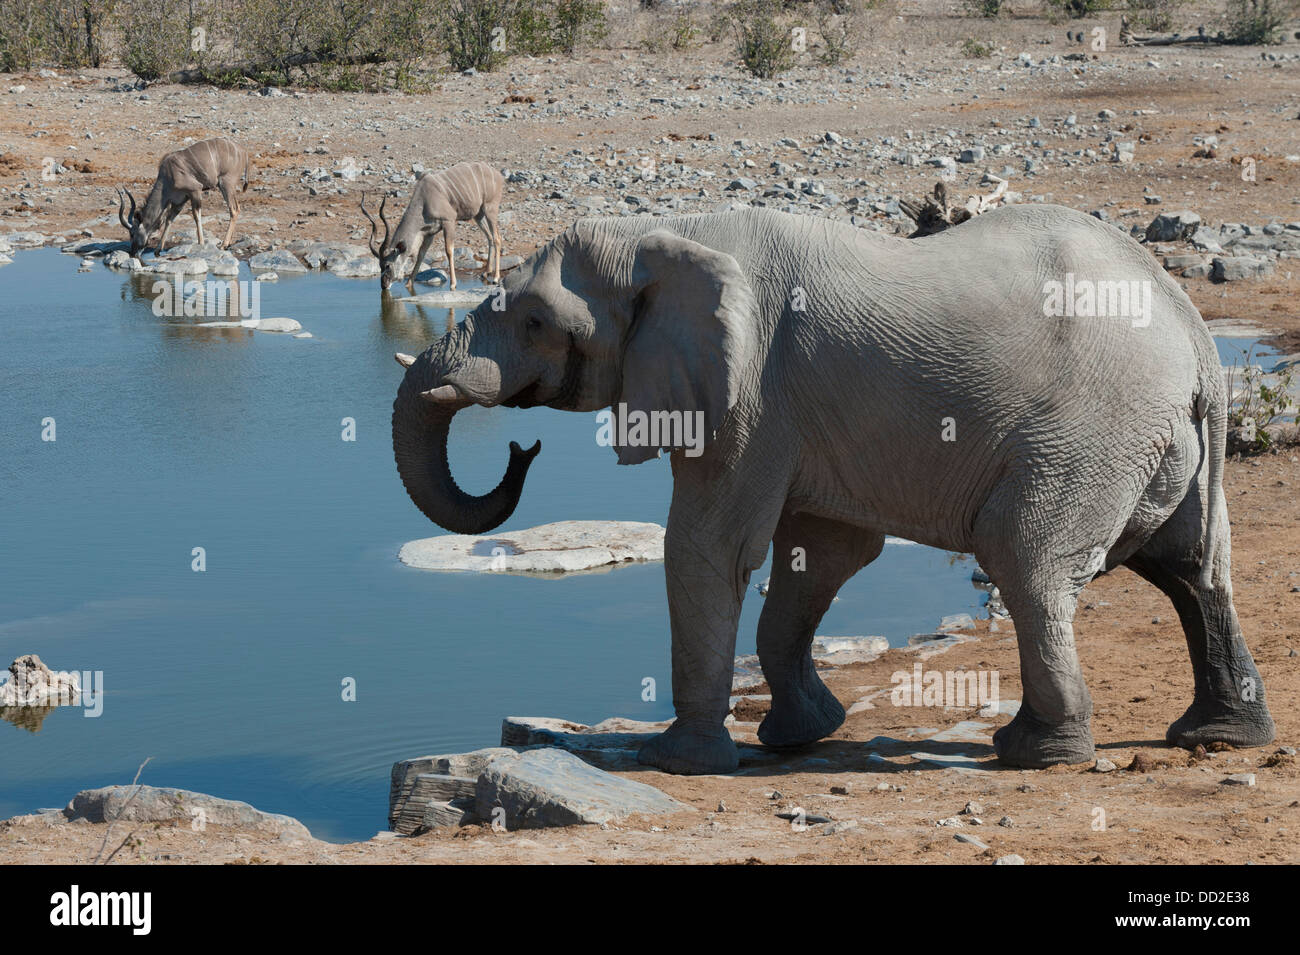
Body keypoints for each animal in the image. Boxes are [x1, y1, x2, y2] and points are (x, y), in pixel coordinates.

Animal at [390, 205, 1274, 774]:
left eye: (536, 322)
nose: (522, 448)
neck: (665, 234)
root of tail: (1195, 333)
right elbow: (822, 554)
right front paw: (800, 734)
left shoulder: (749, 390)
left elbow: (710, 546)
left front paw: (675, 759)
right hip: (1157, 442)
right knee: (1190, 568)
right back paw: (1220, 735)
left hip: (1093, 428)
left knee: (1026, 559)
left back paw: (1037, 752)